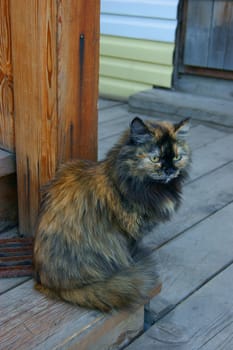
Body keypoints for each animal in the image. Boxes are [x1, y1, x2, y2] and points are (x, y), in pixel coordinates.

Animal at [33, 117, 190, 312]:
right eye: (155, 158)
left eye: (177, 157)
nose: (170, 171)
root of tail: (48, 284)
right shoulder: (130, 233)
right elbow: (131, 251)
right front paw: (132, 262)